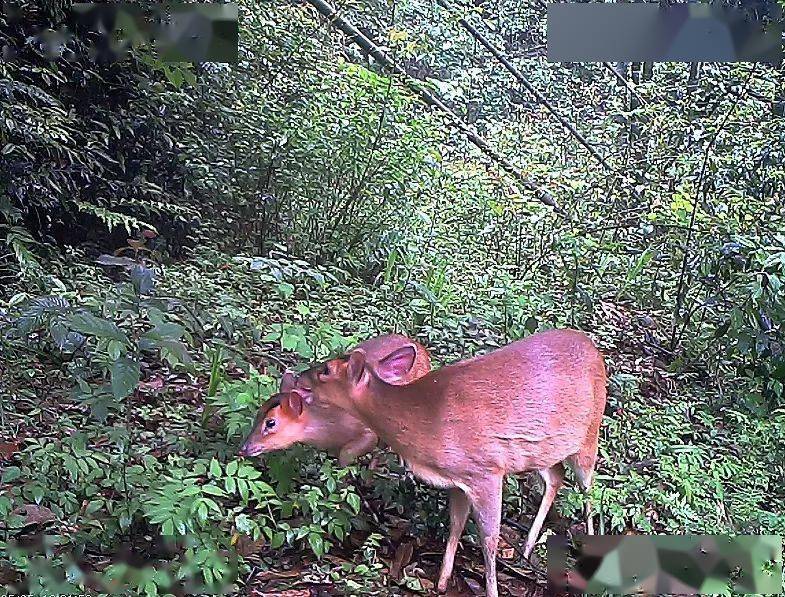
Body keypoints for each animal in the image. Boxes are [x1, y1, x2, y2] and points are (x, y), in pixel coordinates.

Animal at [294, 328, 608, 592]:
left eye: (325, 370)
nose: (298, 377)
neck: (426, 417)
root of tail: (594, 348)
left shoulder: (487, 471)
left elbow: (489, 540)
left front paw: (490, 589)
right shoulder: (459, 479)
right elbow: (455, 525)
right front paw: (443, 582)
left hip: (590, 432)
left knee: (588, 487)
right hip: (543, 450)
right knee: (556, 476)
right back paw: (527, 551)